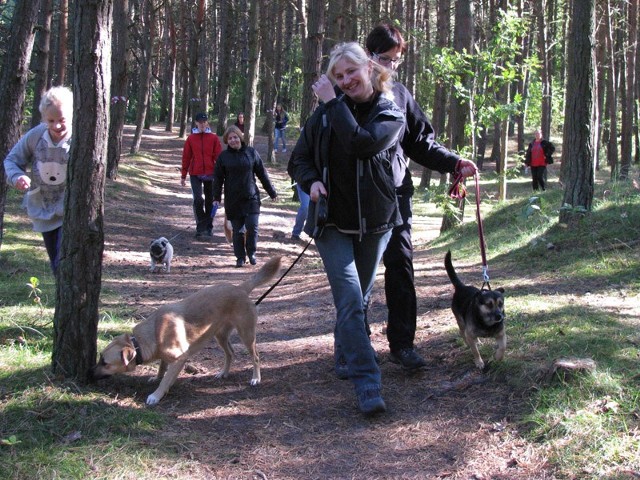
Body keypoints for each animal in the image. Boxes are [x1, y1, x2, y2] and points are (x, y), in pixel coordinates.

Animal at [91, 256, 282, 404]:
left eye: (105, 363)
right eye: (99, 358)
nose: (89, 373)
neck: (151, 334)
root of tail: (240, 288)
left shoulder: (180, 358)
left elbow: (166, 379)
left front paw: (156, 395)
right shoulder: (165, 356)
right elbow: (162, 368)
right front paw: (156, 377)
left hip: (246, 334)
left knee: (255, 356)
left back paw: (256, 378)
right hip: (219, 336)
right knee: (231, 353)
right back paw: (223, 373)